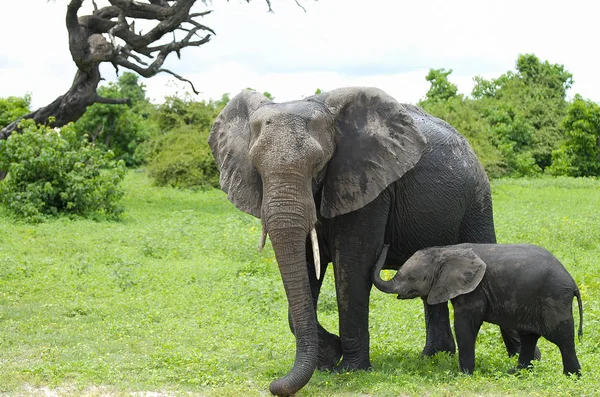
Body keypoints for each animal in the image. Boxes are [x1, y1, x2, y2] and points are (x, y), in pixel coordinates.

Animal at [210, 87, 510, 396]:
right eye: (256, 168)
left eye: (319, 164)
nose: (273, 385)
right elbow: (305, 268)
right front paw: (328, 359)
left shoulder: (368, 185)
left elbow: (352, 265)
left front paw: (348, 368)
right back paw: (433, 357)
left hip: (477, 199)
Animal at [372, 241, 584, 374]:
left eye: (413, 278)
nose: (385, 244)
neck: (445, 250)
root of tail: (572, 283)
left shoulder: (475, 289)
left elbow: (464, 325)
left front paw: (462, 374)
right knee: (529, 337)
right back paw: (516, 373)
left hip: (554, 298)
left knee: (562, 337)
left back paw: (572, 376)